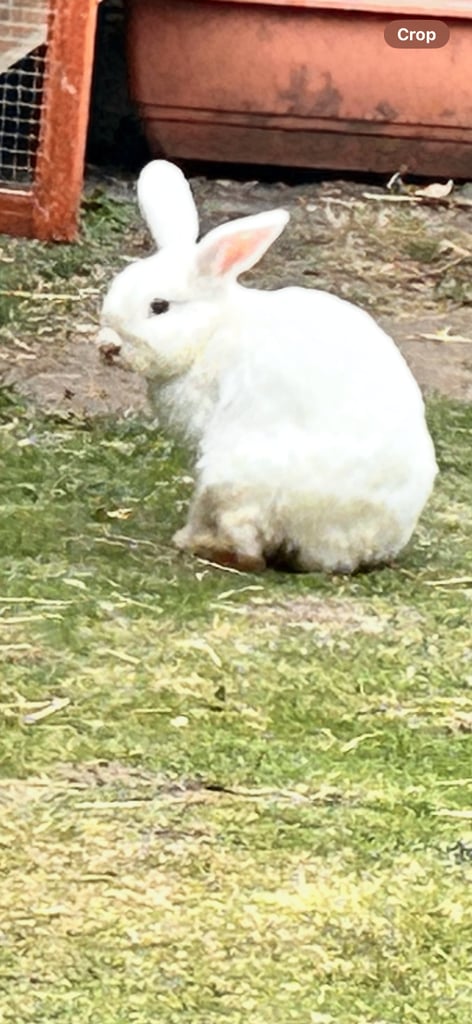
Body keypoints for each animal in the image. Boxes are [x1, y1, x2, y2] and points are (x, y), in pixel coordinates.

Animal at [97, 160, 437, 574]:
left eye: (159, 306)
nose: (107, 346)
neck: (213, 330)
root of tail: (354, 546)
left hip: (230, 474)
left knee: (248, 549)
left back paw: (197, 543)